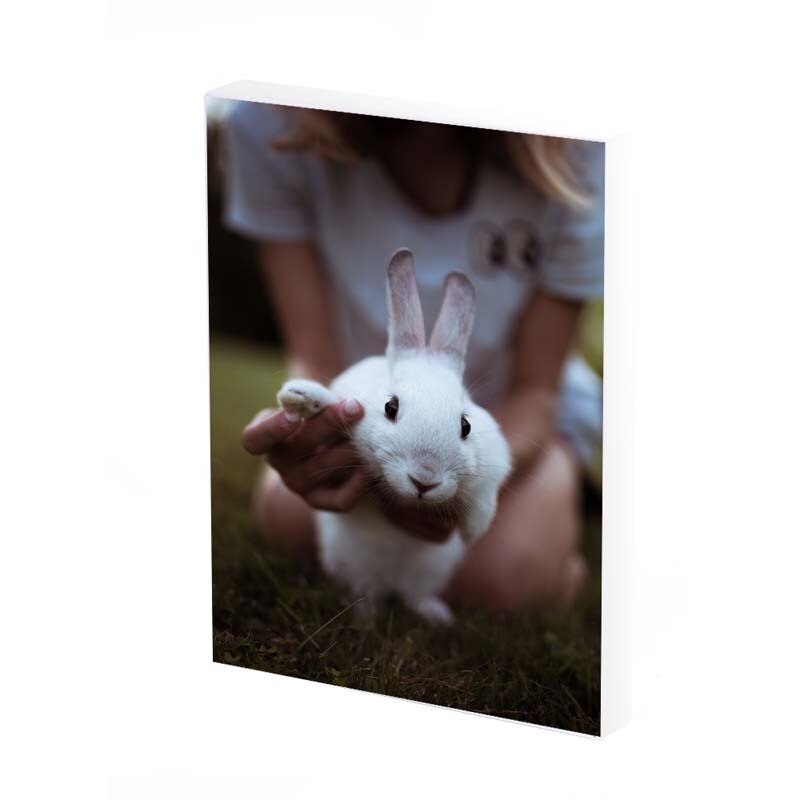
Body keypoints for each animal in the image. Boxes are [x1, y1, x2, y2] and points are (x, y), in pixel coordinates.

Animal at [276, 249, 512, 624]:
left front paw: (474, 530)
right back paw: (366, 615)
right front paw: (300, 397)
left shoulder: (493, 463)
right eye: (390, 407)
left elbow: (484, 497)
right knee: (368, 591)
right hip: (355, 564)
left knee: (413, 594)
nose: (424, 479)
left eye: (465, 426)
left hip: (429, 571)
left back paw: (435, 615)